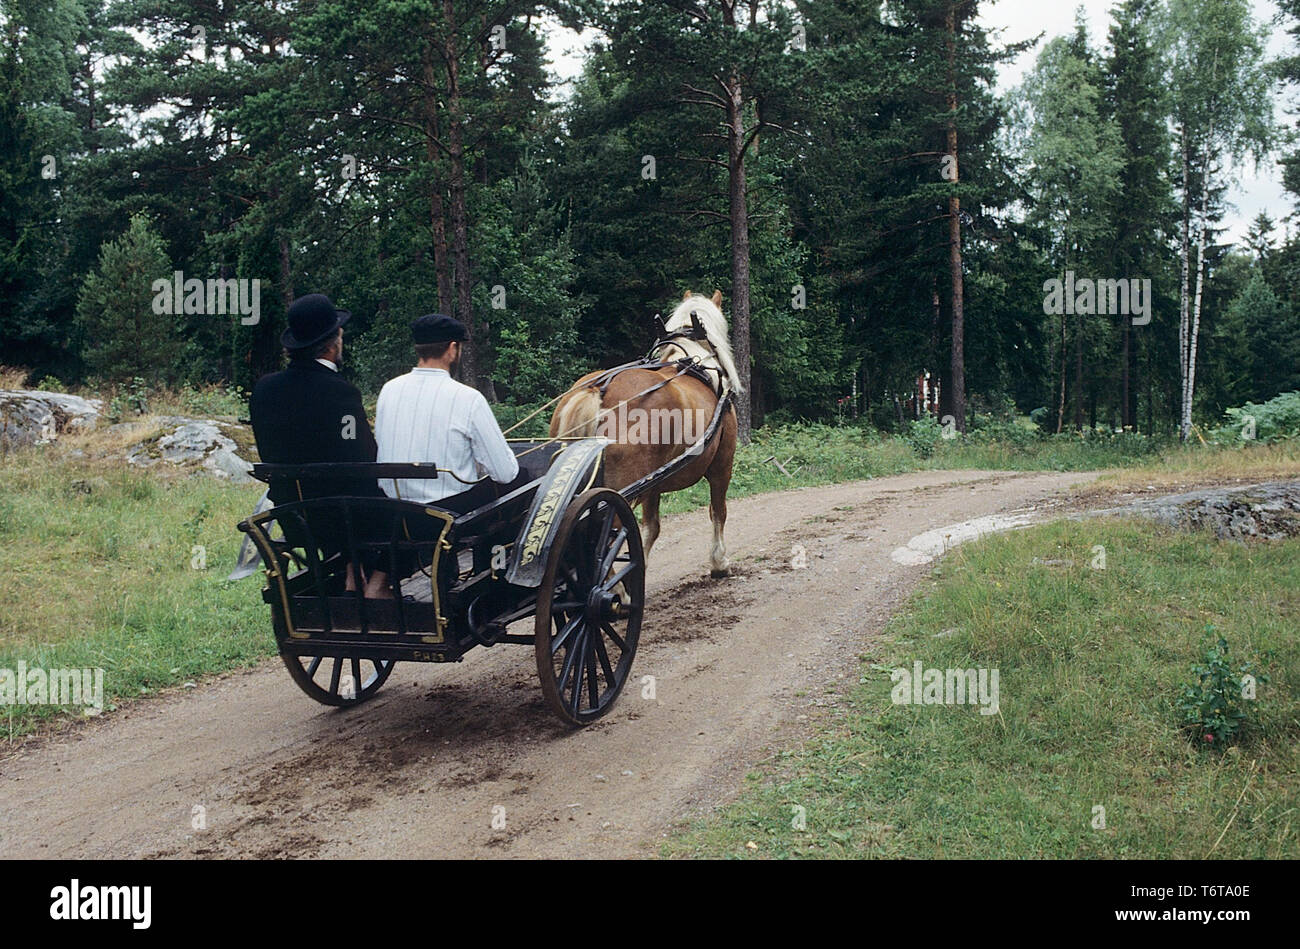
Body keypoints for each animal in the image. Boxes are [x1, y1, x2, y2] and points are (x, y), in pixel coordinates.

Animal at [546, 286, 738, 577]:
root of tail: (598, 389)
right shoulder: (722, 464)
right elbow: (718, 512)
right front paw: (719, 562)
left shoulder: (653, 482)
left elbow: (651, 527)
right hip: (618, 492)